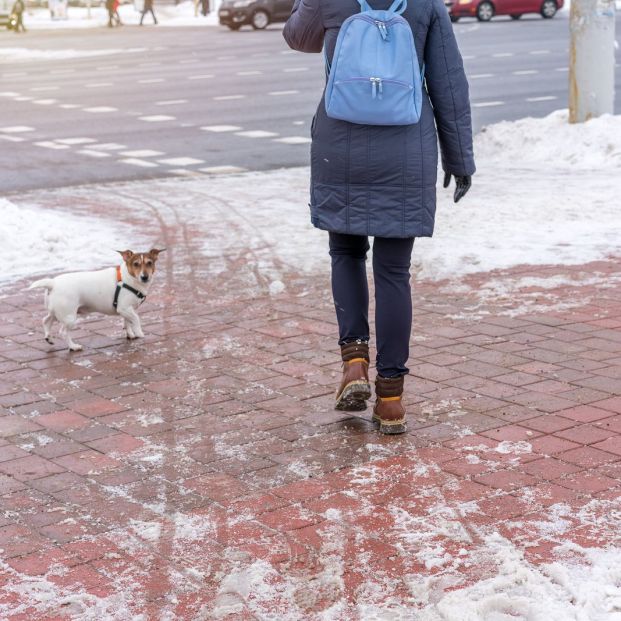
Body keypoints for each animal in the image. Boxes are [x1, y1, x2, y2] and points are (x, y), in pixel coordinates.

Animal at [30, 249, 163, 352]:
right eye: (136, 264)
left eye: (149, 263)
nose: (144, 277)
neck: (128, 278)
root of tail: (53, 283)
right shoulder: (124, 308)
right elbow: (136, 319)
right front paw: (139, 332)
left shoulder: (127, 310)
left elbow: (127, 322)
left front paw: (130, 334)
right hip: (69, 318)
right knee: (63, 332)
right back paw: (73, 347)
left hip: (55, 312)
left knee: (46, 320)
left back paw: (49, 338)